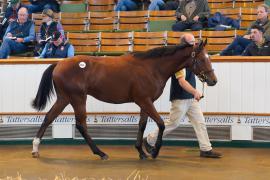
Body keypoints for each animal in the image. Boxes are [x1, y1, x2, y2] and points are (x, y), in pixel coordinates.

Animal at [31, 39, 217, 160]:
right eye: (202, 59)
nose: (213, 80)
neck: (152, 67)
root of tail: (59, 64)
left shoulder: (145, 102)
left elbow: (142, 125)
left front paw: (141, 152)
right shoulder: (144, 101)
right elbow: (161, 124)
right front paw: (154, 151)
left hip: (64, 98)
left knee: (48, 117)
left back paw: (35, 148)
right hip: (78, 98)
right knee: (81, 125)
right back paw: (100, 153)